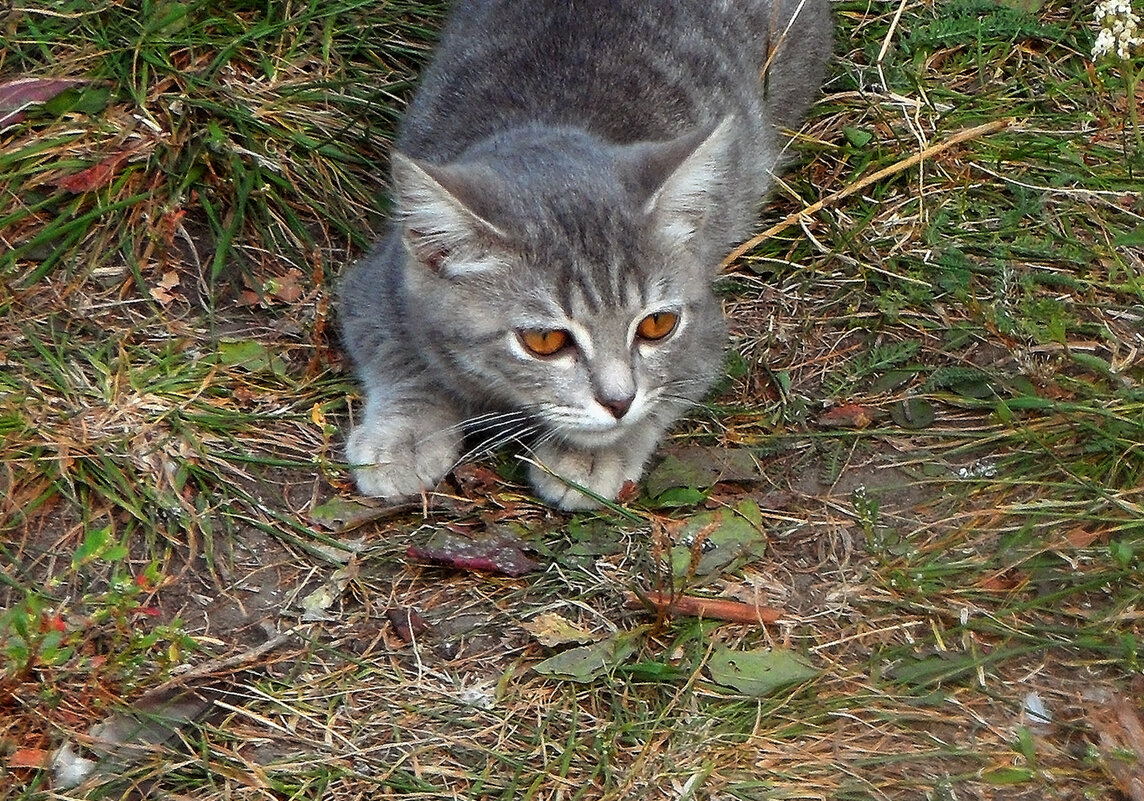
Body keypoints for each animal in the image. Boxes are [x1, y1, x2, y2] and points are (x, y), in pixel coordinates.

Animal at [336, 0, 832, 510]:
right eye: (544, 341)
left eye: (658, 325)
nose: (618, 401)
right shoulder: (373, 289)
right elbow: (404, 361)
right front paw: (404, 436)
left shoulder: (705, 335)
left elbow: (669, 388)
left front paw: (597, 451)